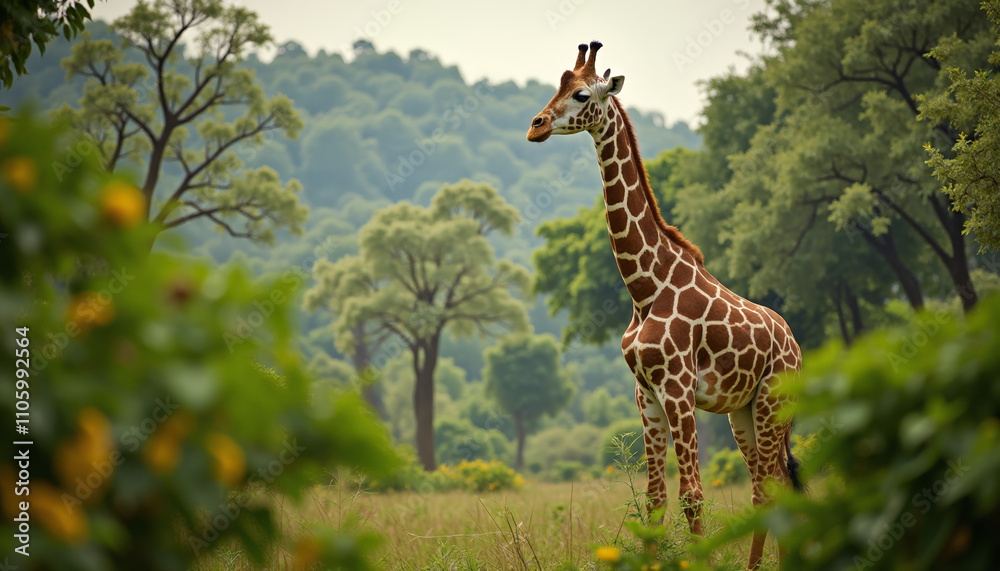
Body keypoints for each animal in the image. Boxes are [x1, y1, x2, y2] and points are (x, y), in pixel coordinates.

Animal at [526, 41, 803, 570]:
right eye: (556, 87)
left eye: (582, 94)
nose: (536, 126)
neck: (644, 288)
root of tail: (798, 348)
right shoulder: (646, 394)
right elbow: (653, 499)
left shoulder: (678, 388)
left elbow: (692, 494)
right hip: (743, 411)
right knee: (769, 488)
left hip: (773, 402)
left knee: (769, 488)